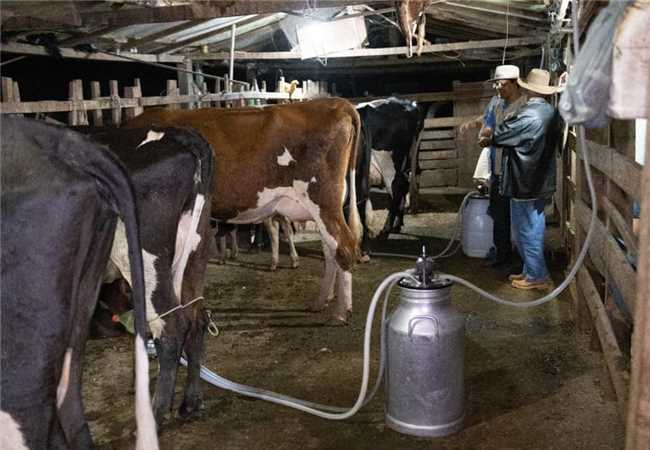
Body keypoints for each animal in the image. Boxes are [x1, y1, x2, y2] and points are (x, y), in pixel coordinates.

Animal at [80, 126, 214, 426]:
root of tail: (179, 135)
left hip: (143, 255)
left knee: (171, 327)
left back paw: (154, 415)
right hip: (195, 252)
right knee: (196, 318)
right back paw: (190, 402)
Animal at [126, 99, 360, 324]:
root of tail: (337, 103)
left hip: (322, 201)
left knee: (343, 247)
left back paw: (340, 313)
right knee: (330, 251)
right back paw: (321, 302)